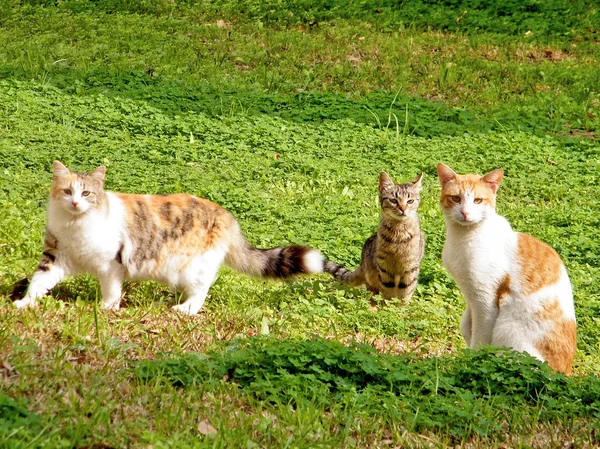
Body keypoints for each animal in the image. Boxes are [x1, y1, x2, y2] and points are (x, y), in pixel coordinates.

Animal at [11, 159, 326, 314]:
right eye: (67, 191)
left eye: (87, 193)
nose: (76, 202)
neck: (75, 226)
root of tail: (226, 215)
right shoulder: (55, 257)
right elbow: (38, 283)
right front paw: (24, 304)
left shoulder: (111, 265)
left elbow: (111, 291)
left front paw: (107, 309)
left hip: (192, 267)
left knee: (201, 292)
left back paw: (184, 309)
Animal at [324, 172, 426, 300]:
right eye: (393, 200)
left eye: (410, 201)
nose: (403, 209)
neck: (399, 232)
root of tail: (362, 263)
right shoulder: (384, 268)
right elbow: (387, 293)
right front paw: (388, 304)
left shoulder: (410, 268)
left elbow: (404, 294)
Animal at [436, 163, 576, 372]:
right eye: (455, 198)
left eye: (478, 200)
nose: (465, 213)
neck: (462, 238)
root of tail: (563, 373)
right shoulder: (471, 295)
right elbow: (466, 325)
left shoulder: (485, 299)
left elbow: (480, 336)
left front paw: (471, 360)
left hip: (509, 328)